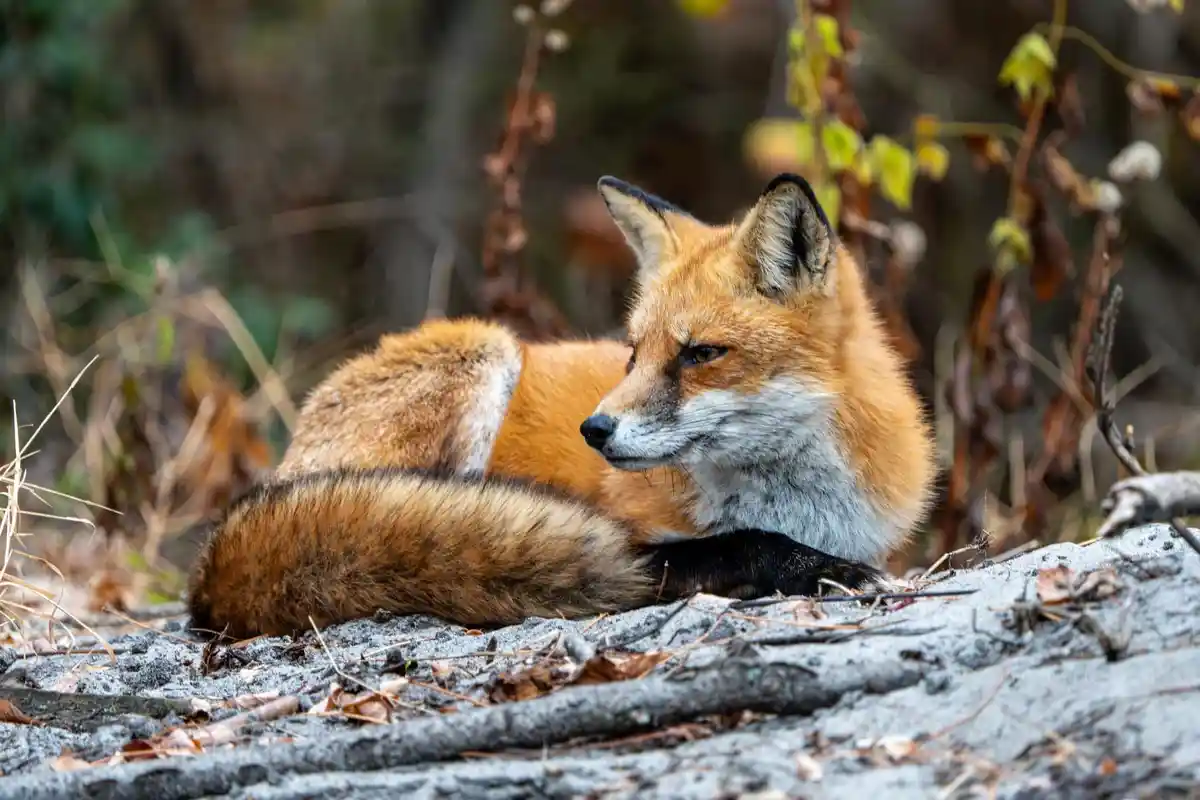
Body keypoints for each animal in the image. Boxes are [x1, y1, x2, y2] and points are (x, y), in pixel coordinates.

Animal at [187, 172, 937, 638]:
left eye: (700, 354)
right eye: (634, 352)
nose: (595, 430)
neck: (799, 505)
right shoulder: (644, 537)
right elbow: (724, 551)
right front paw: (805, 568)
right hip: (482, 352)